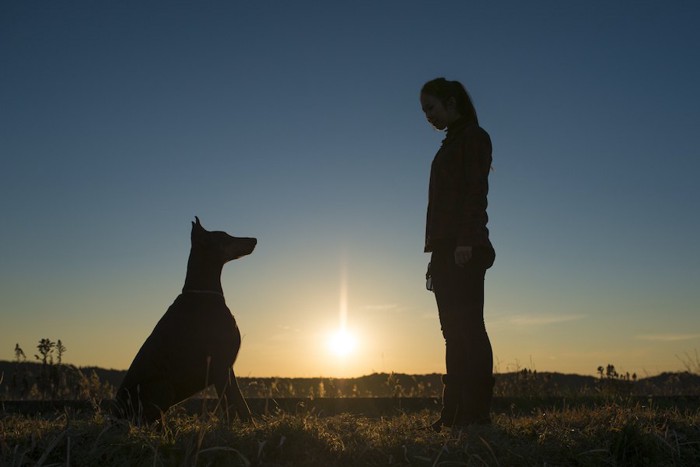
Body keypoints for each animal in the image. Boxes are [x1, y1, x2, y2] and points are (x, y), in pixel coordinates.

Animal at [115, 218, 258, 426]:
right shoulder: (220, 363)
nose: (254, 239)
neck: (203, 292)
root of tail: (114, 415)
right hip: (162, 386)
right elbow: (230, 406)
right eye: (225, 236)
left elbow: (242, 405)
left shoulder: (227, 365)